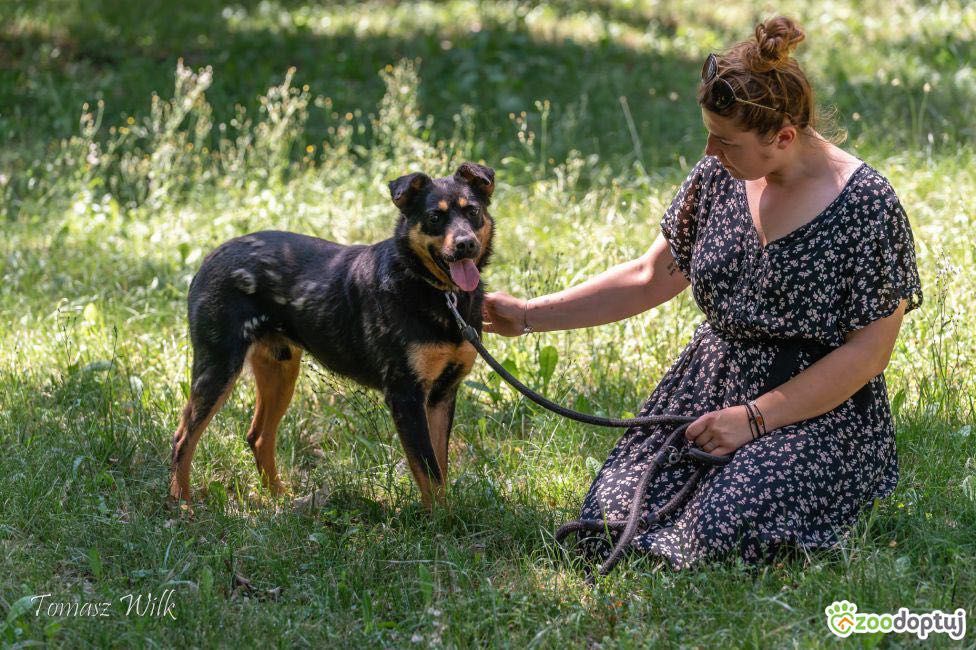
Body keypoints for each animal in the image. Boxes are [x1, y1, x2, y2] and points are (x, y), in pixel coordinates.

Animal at [167, 162, 496, 506]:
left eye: (473, 212)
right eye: (434, 217)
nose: (465, 244)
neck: (440, 294)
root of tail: (211, 256)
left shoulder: (442, 394)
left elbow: (440, 470)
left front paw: (447, 513)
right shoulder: (406, 395)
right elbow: (429, 473)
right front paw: (439, 519)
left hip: (280, 371)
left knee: (258, 436)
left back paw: (279, 499)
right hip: (218, 368)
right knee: (183, 438)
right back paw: (183, 503)